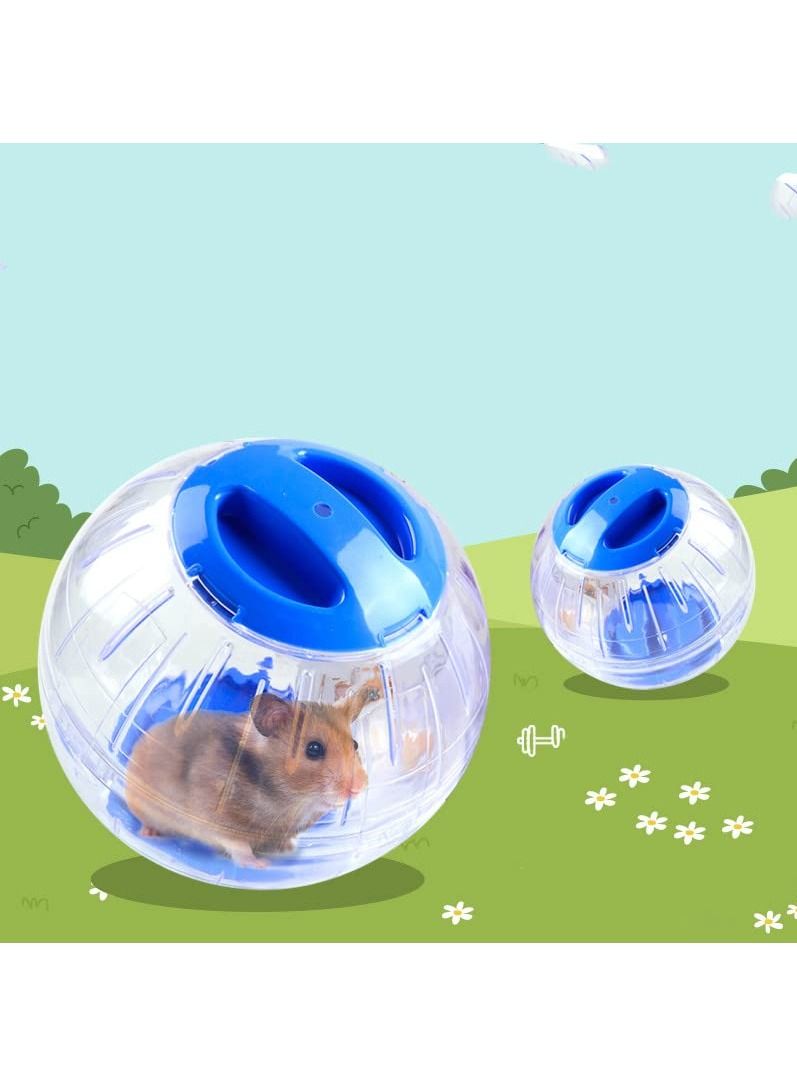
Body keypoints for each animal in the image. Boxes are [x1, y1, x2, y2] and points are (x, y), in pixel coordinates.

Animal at [125, 678, 380, 869]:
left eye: (355, 744)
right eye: (314, 749)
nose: (360, 787)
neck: (290, 800)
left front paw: (288, 849)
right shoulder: (214, 817)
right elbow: (237, 845)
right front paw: (260, 865)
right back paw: (149, 833)